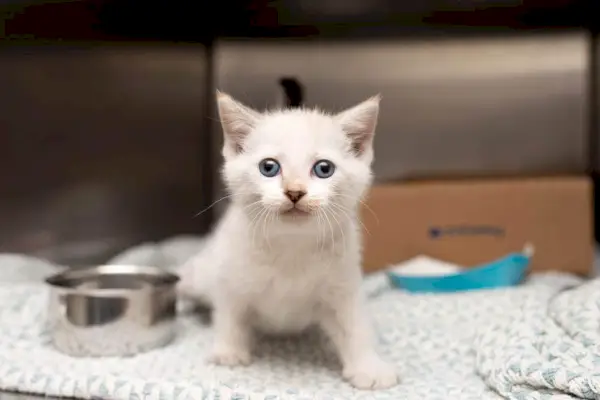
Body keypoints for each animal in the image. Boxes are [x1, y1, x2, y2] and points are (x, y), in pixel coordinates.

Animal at [180, 91, 400, 390]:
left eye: (324, 168)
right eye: (269, 167)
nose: (294, 192)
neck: (292, 245)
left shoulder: (343, 285)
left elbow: (354, 325)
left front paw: (369, 366)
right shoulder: (229, 275)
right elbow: (229, 313)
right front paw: (229, 351)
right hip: (202, 271)